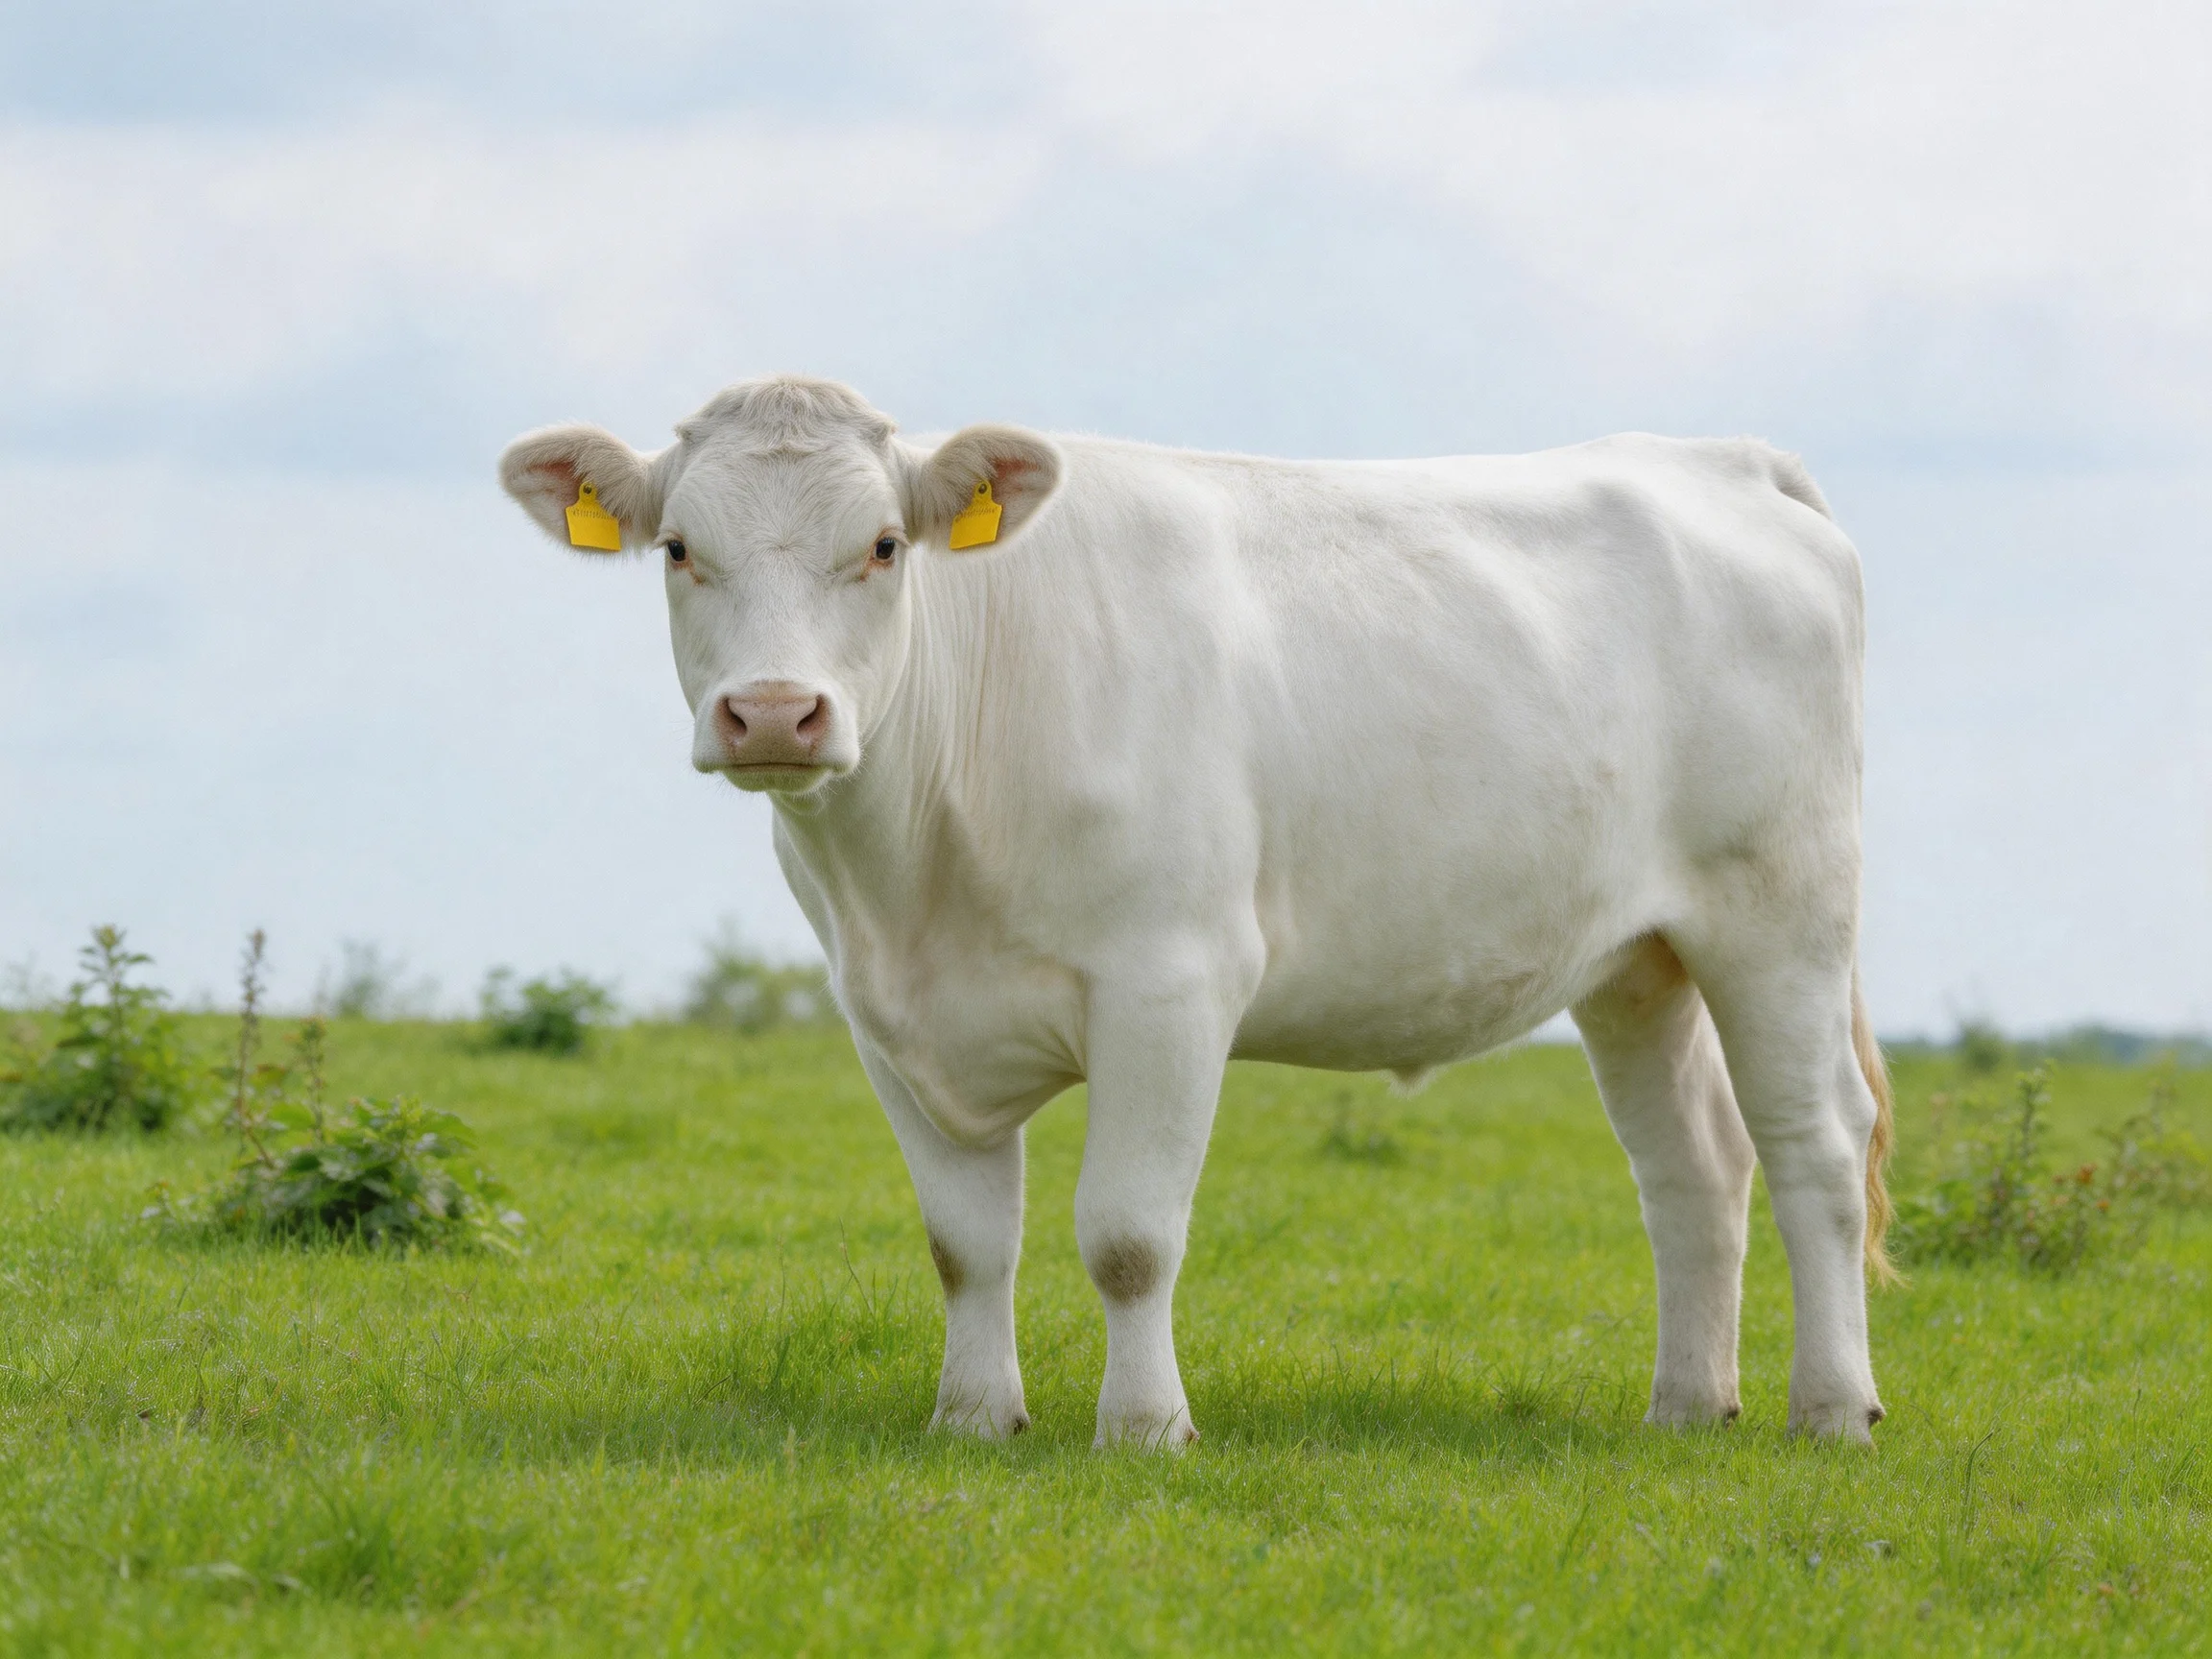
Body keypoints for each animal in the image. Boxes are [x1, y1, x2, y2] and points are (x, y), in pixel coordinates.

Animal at [500, 376, 1894, 1449]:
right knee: (1692, 1166)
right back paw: (1686, 1404)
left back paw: (1831, 1408)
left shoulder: (1170, 982)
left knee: (1816, 1144)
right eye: (681, 548)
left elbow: (1128, 1235)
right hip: (1637, 960)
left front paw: (1144, 1427)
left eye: (885, 546)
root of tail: (1717, 459)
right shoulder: (882, 1016)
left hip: (1781, 916)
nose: (777, 714)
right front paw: (973, 1418)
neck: (919, 875)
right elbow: (965, 1243)